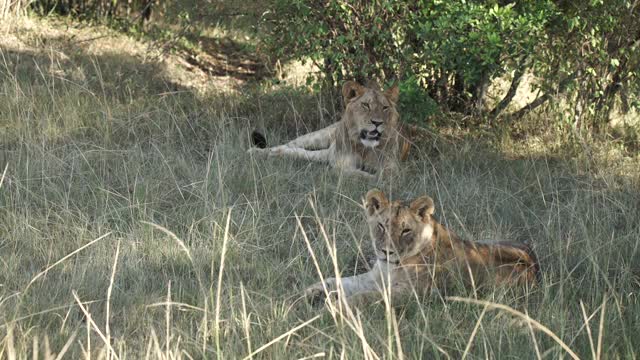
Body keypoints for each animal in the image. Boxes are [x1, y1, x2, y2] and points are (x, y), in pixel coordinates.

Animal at [248, 81, 408, 178]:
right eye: (365, 105)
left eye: (385, 107)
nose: (377, 122)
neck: (364, 148)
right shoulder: (341, 163)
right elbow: (358, 174)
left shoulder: (392, 166)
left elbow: (385, 176)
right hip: (318, 137)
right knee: (289, 145)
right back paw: (258, 152)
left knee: (298, 152)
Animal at [304, 188, 540, 306]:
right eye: (381, 226)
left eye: (406, 230)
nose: (386, 252)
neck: (391, 266)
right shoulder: (374, 278)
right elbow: (337, 280)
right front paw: (312, 291)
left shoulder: (412, 293)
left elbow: (367, 296)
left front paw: (335, 306)